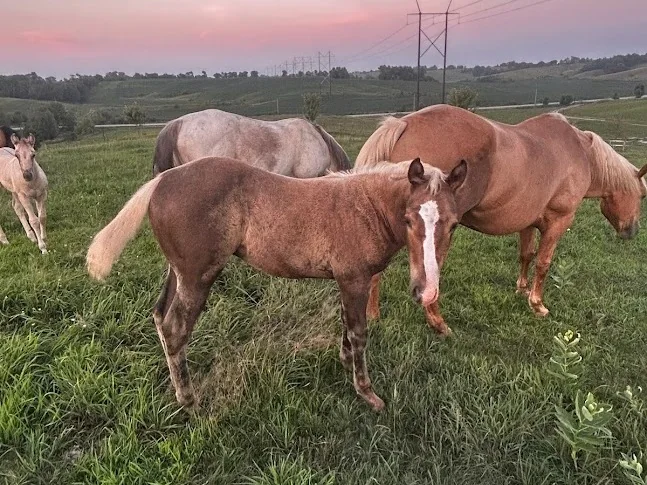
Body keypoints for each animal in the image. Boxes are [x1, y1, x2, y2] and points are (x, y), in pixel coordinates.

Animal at [86, 157, 467, 411]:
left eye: (454, 224)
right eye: (408, 219)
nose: (426, 291)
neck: (364, 205)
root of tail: (163, 179)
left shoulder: (346, 282)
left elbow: (347, 325)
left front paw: (345, 363)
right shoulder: (355, 279)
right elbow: (359, 333)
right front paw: (366, 392)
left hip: (177, 272)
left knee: (159, 316)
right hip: (197, 278)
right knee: (175, 328)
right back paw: (189, 400)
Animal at [356, 104, 647, 328]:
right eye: (644, 194)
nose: (631, 230)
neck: (580, 153)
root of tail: (404, 123)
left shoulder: (528, 222)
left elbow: (526, 255)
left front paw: (521, 289)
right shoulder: (558, 221)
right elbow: (544, 263)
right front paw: (537, 304)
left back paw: (373, 315)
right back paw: (437, 323)